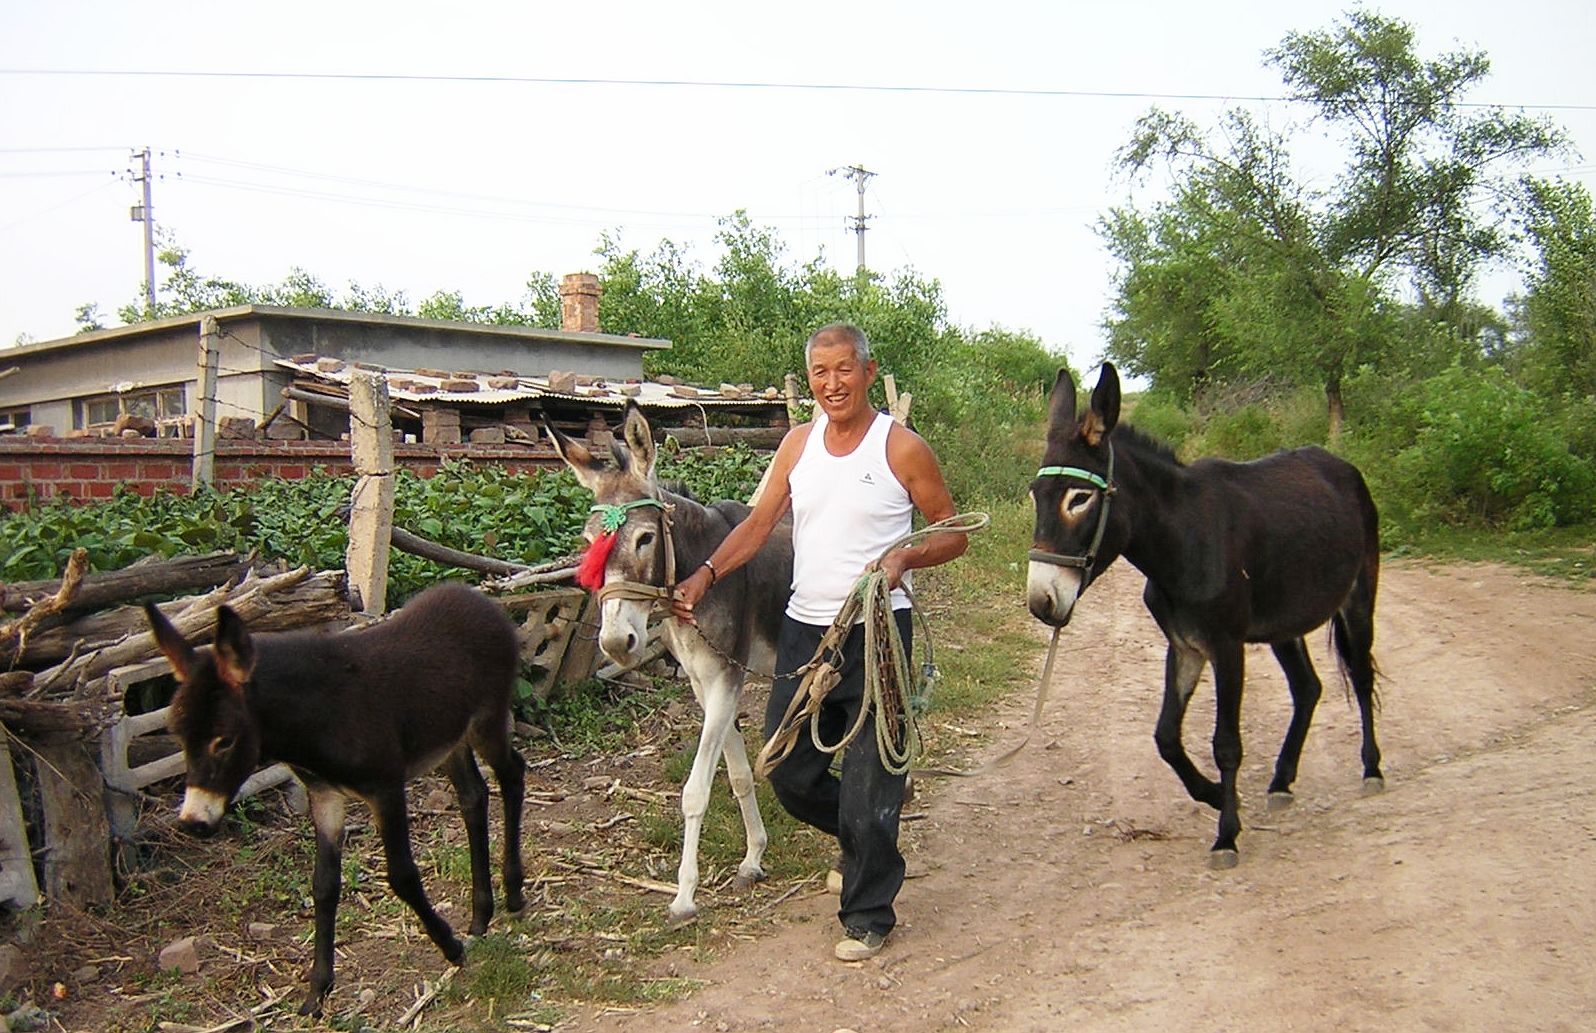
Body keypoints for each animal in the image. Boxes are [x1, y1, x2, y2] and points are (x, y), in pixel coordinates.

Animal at [146, 581, 526, 1015]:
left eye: (223, 740)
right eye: (177, 734)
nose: (193, 822)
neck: (320, 714)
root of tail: (478, 598)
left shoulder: (385, 788)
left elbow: (402, 875)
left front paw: (450, 947)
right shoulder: (325, 796)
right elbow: (324, 885)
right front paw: (317, 991)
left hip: (487, 720)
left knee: (513, 775)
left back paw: (514, 894)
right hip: (449, 739)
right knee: (473, 796)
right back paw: (481, 914)